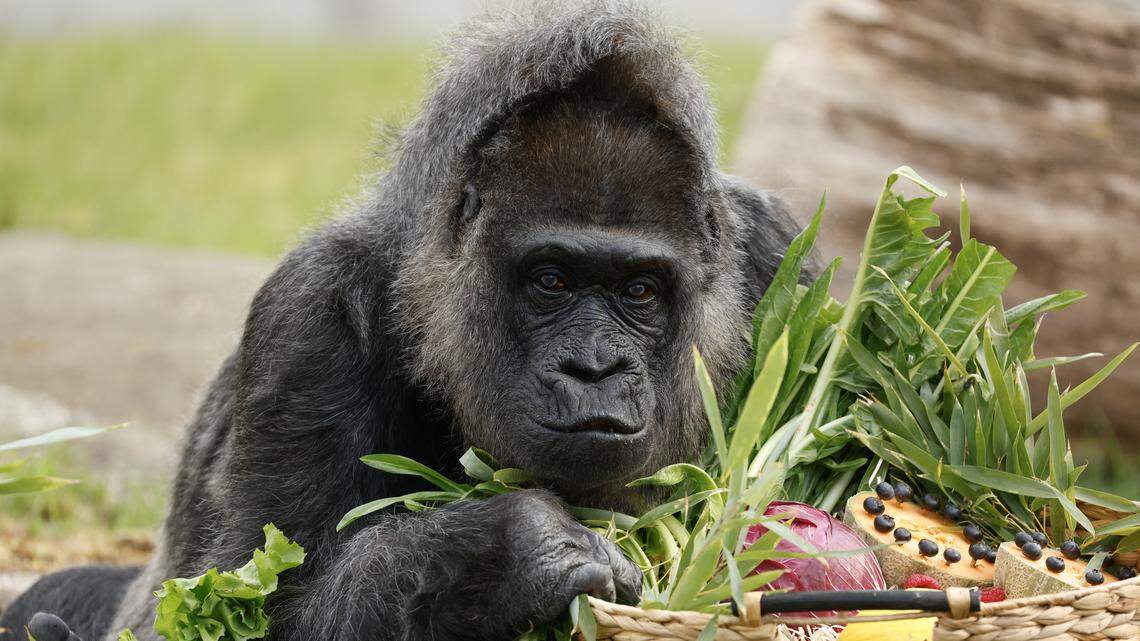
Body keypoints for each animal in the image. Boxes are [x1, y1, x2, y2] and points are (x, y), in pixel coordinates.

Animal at [0, 3, 803, 640]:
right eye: (551, 280)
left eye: (639, 290)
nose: (594, 368)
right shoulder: (310, 315)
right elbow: (247, 601)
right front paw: (512, 555)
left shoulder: (774, 248)